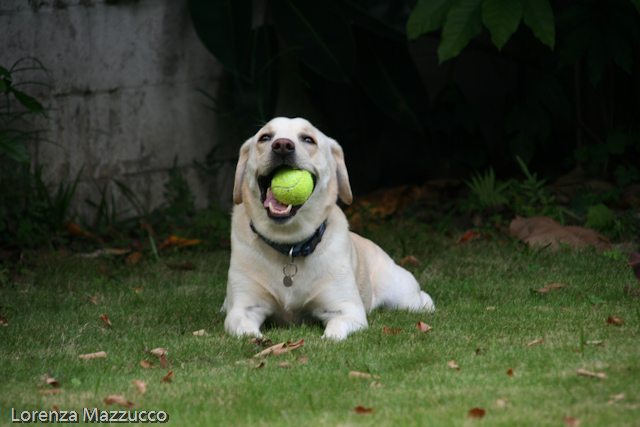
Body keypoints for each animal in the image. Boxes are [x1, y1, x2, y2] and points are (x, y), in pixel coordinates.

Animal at [221, 117, 436, 342]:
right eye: (265, 137)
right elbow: (245, 330)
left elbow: (335, 331)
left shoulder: (348, 310)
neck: (289, 245)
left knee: (420, 298)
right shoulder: (243, 308)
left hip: (401, 294)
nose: (282, 145)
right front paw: (259, 340)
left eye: (308, 139)